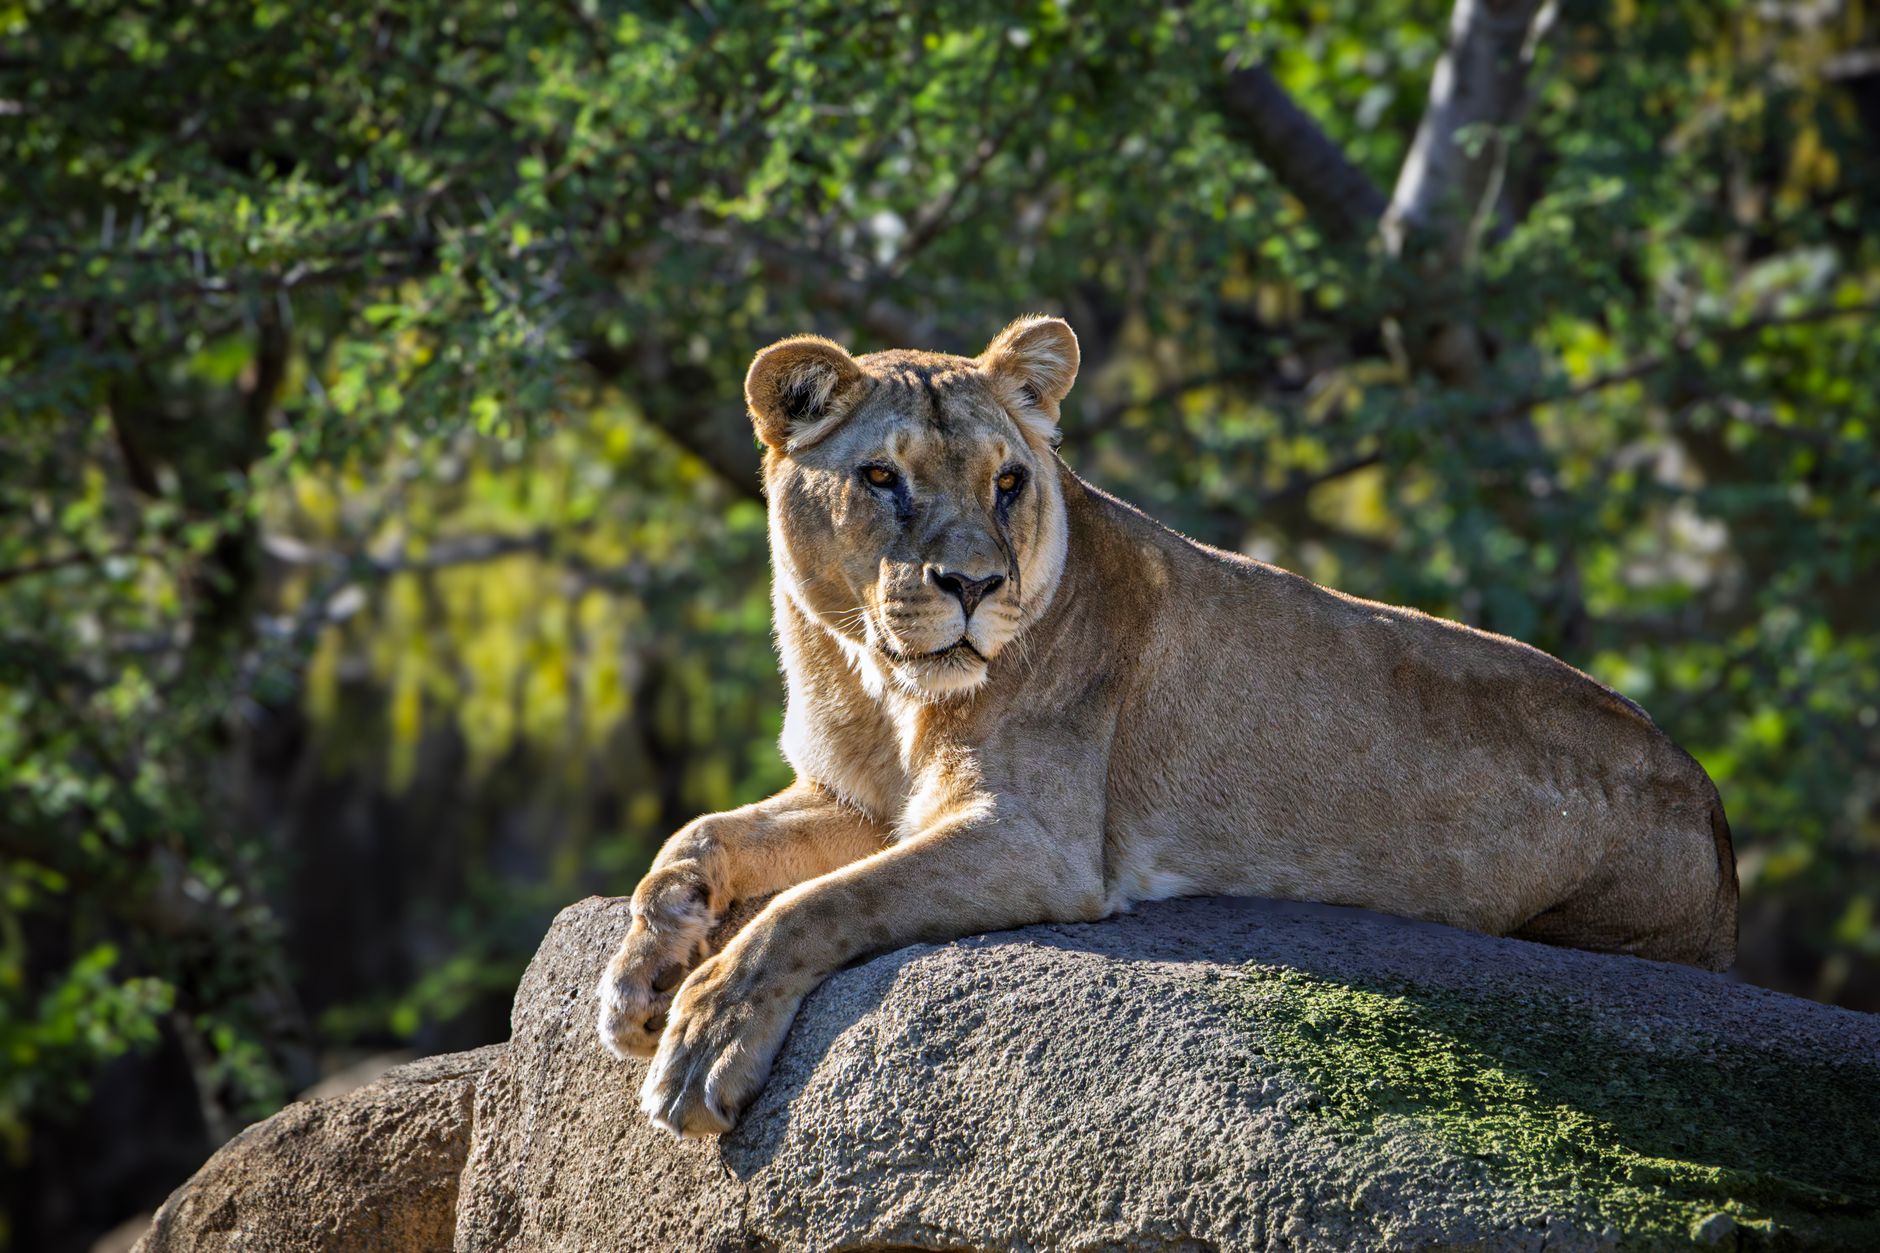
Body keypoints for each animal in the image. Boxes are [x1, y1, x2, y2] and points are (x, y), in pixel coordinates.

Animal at [598, 315, 1738, 1138]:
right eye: (882, 477)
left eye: (1008, 483)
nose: (974, 585)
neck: (873, 680)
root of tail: (1715, 812)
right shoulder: (858, 799)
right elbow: (694, 838)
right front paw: (639, 978)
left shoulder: (1037, 841)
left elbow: (817, 906)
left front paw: (704, 1040)